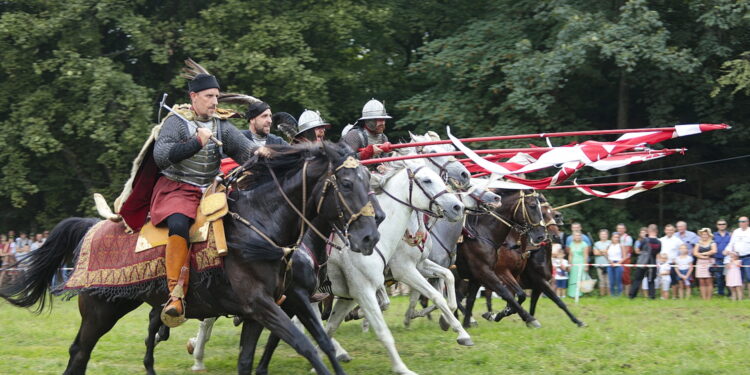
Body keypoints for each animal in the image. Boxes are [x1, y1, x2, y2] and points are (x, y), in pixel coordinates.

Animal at [2, 142, 382, 374]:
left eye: (368, 178)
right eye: (346, 184)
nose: (371, 234)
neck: (262, 225)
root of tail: (91, 228)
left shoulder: (275, 305)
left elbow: (271, 355)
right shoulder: (263, 305)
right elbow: (308, 346)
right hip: (100, 310)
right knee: (80, 351)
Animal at [328, 159, 468, 375]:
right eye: (427, 180)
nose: (457, 207)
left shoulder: (420, 265)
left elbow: (447, 278)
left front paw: (450, 324)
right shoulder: (404, 271)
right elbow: (436, 295)